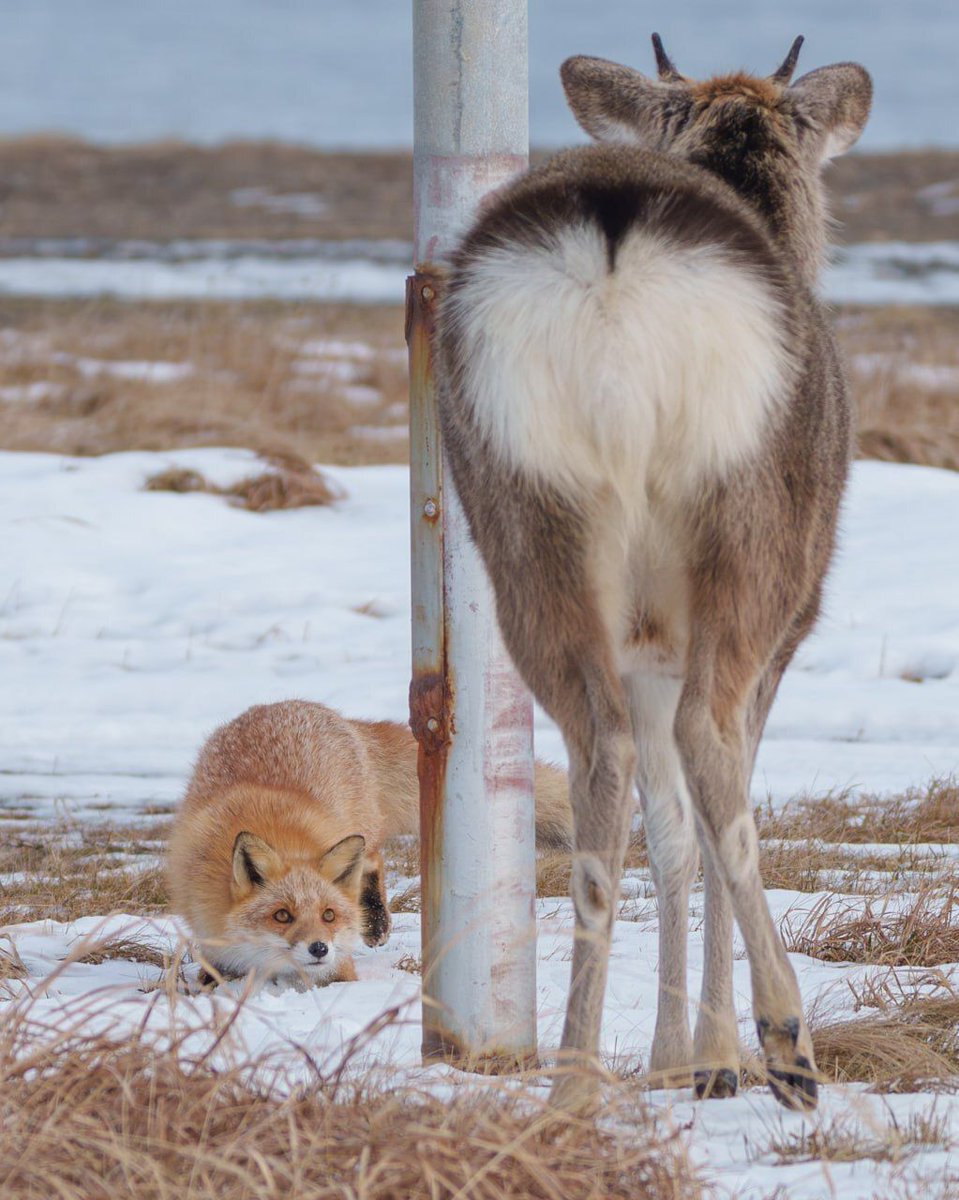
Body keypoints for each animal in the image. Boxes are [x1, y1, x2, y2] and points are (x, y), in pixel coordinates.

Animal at [435, 36, 871, 1111]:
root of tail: (611, 266)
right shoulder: (784, 627)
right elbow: (713, 820)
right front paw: (711, 1055)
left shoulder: (640, 646)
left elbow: (668, 832)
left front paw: (676, 1054)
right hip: (744, 528)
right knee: (708, 748)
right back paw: (785, 1036)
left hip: (526, 511)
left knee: (600, 760)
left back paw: (570, 1083)